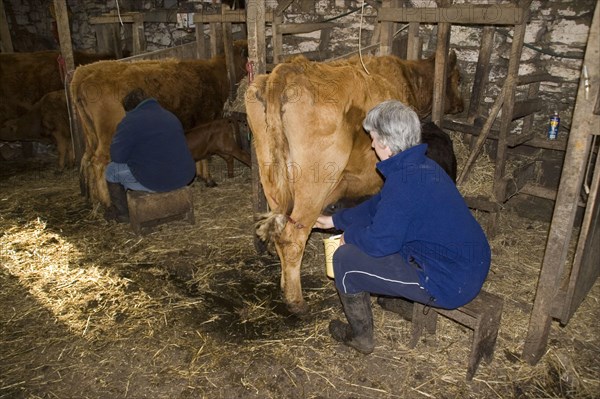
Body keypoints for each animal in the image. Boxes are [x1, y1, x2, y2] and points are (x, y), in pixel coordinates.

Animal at [71, 41, 248, 206]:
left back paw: (94, 200)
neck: (215, 74)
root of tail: (85, 74)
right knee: (99, 161)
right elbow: (204, 154)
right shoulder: (206, 120)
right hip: (108, 135)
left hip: (91, 135)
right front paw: (208, 178)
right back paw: (107, 201)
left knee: (87, 158)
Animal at [244, 50, 464, 316]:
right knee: (292, 238)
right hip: (314, 184)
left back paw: (285, 285)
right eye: (459, 79)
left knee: (279, 232)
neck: (407, 79)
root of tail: (290, 69)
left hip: (271, 176)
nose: (462, 106)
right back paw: (296, 301)